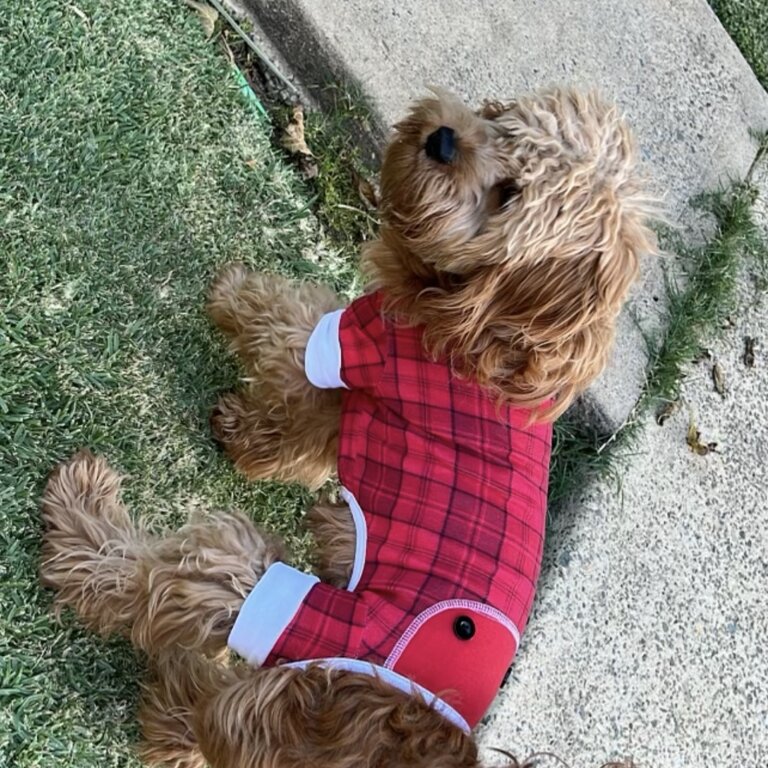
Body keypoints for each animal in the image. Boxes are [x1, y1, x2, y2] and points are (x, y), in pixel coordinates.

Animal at [40, 87, 660, 764]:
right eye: (500, 127)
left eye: (507, 196)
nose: (443, 138)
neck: (496, 340)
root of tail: (405, 727)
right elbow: (306, 439)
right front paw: (255, 442)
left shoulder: (343, 343)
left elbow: (278, 314)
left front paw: (229, 296)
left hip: (286, 608)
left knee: (153, 580)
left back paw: (80, 508)